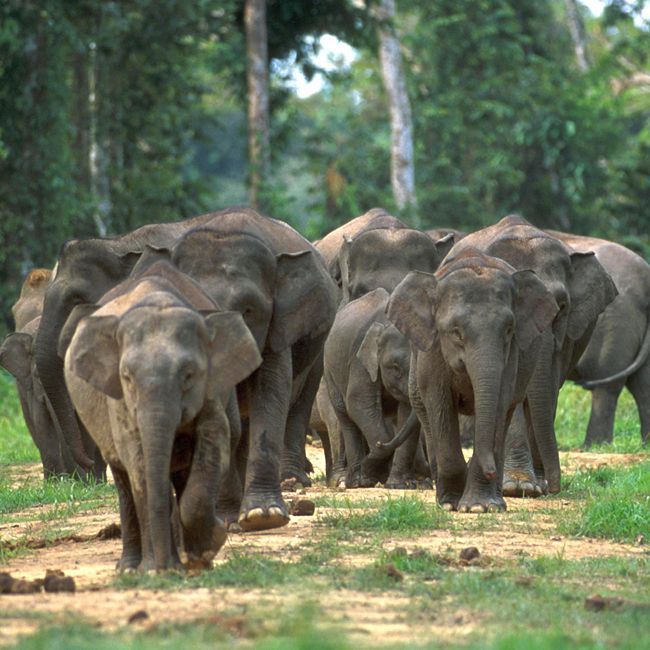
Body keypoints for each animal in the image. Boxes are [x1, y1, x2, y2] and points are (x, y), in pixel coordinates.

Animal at [63, 258, 260, 568]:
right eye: (127, 376)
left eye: (189, 375)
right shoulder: (118, 399)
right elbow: (138, 460)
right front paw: (159, 569)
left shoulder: (211, 389)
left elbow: (214, 440)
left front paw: (208, 548)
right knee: (125, 479)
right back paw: (132, 567)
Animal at [322, 288, 426, 486]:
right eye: (395, 367)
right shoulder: (359, 362)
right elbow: (358, 402)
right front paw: (369, 476)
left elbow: (406, 413)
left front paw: (399, 485)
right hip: (329, 372)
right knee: (346, 417)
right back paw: (355, 482)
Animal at [384, 248, 556, 512]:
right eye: (455, 332)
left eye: (509, 330)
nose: (490, 470)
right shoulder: (433, 349)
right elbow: (440, 403)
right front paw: (451, 503)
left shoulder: (511, 356)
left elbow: (499, 404)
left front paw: (480, 507)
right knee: (425, 412)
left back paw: (496, 499)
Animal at [448, 215, 616, 494]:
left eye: (562, 307)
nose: (554, 486)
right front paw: (517, 487)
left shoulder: (565, 337)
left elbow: (545, 388)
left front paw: (533, 486)